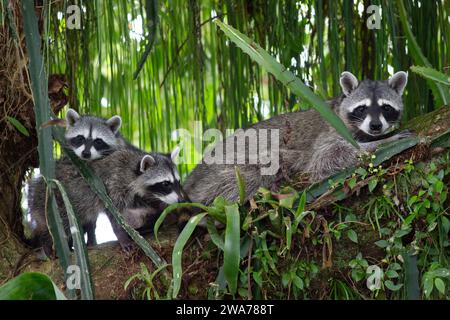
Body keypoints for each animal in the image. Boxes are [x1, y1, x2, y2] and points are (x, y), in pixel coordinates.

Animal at [183, 70, 412, 205]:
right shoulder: (330, 131)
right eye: (362, 108)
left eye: (386, 108)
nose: (376, 126)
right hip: (221, 175)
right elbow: (327, 158)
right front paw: (382, 143)